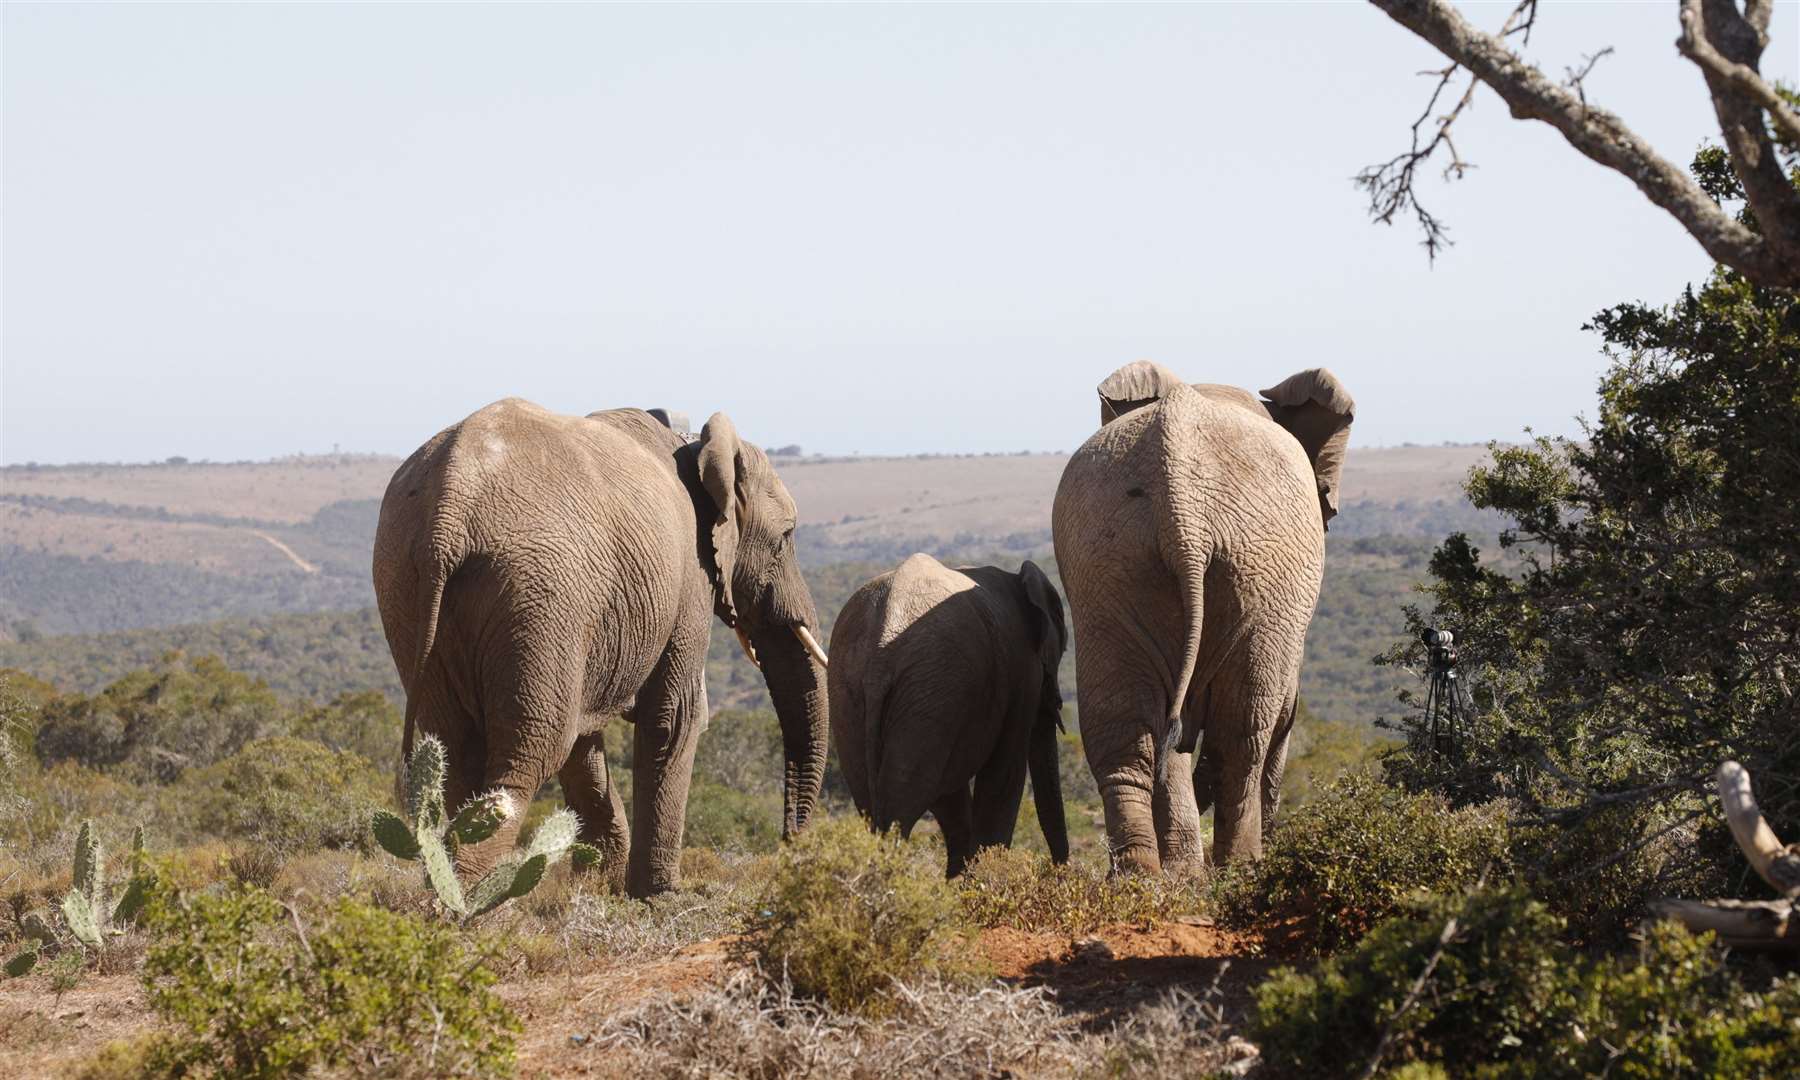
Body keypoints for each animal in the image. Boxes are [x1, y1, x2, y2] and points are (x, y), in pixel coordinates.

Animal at [378, 401, 835, 900]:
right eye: (787, 537)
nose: (789, 839)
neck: (695, 444)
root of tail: (449, 508)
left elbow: (587, 739)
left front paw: (605, 883)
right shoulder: (690, 578)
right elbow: (676, 716)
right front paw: (658, 894)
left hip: (405, 587)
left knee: (457, 746)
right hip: (538, 593)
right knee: (532, 751)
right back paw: (465, 902)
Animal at [828, 558, 1065, 878]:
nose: (1060, 872)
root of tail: (880, 651)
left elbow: (950, 794)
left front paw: (960, 883)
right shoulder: (1022, 672)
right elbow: (1004, 775)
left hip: (851, 690)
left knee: (873, 802)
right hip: (930, 684)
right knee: (902, 806)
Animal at [1051, 365, 1353, 878]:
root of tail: (1184, 515)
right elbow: (1282, 715)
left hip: (1107, 559)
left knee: (1127, 727)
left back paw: (1145, 877)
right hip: (1266, 571)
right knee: (1243, 731)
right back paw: (1238, 870)